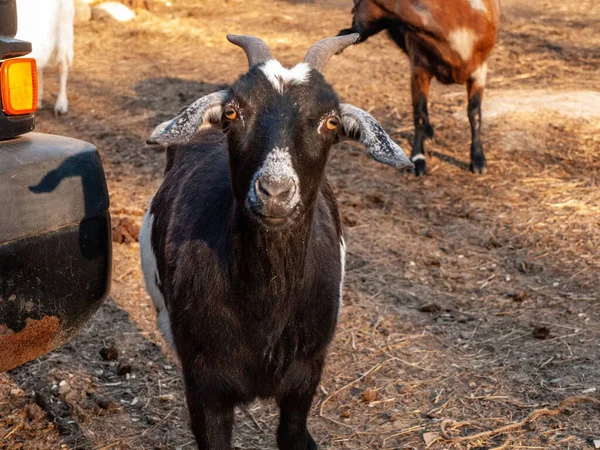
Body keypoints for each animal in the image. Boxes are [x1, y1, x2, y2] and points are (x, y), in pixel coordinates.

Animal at [141, 33, 412, 448]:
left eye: (331, 121)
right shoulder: (205, 385)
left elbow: (293, 435)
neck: (264, 311)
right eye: (232, 112)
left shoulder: (306, 375)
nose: (275, 192)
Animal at [340, 0, 500, 175]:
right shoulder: (418, 68)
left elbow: (474, 113)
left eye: (357, 3)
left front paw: (478, 159)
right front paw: (418, 158)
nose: (349, 31)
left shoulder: (479, 70)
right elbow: (420, 113)